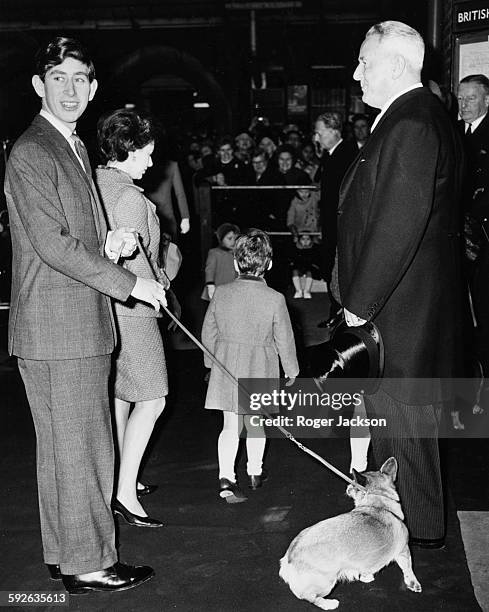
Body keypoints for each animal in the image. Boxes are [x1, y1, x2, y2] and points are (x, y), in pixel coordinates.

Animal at [278, 456, 420, 608]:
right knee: (309, 597)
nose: (348, 486)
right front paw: (413, 584)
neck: (378, 503)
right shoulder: (403, 551)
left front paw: (366, 577)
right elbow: (408, 569)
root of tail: (289, 558)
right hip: (327, 582)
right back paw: (329, 604)